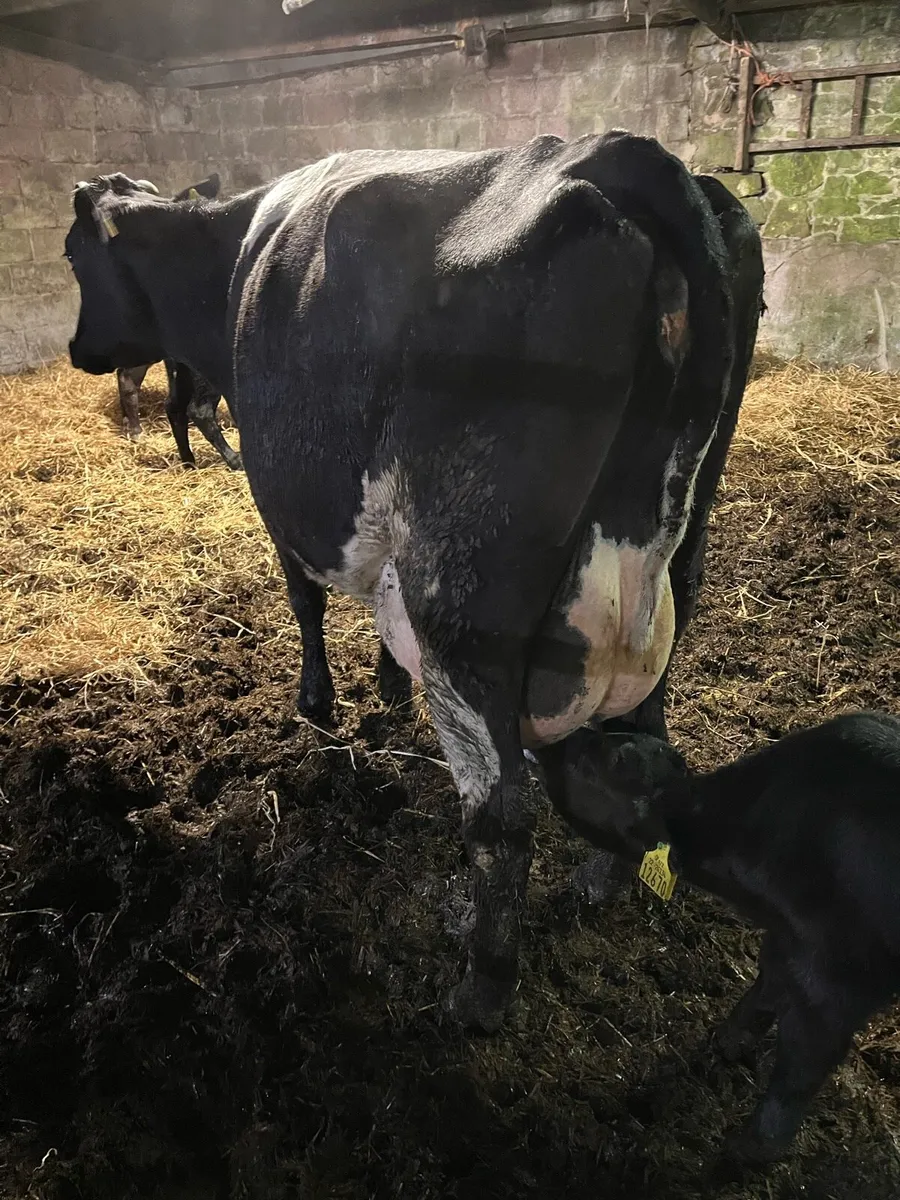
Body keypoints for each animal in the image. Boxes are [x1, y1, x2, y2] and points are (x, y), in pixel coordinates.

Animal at [65, 133, 764, 1031]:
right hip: (675, 561)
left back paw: (478, 990)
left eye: (72, 254)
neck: (228, 257)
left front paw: (318, 702)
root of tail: (619, 157)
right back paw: (600, 881)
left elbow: (304, 600)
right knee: (643, 740)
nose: (79, 350)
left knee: (501, 816)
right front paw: (388, 684)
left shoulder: (279, 491)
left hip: (461, 597)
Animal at [539, 711, 900, 1163]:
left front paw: (738, 1153)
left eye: (606, 761)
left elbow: (793, 1085)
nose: (552, 743)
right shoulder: (786, 942)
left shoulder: (838, 989)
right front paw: (726, 1042)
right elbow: (763, 988)